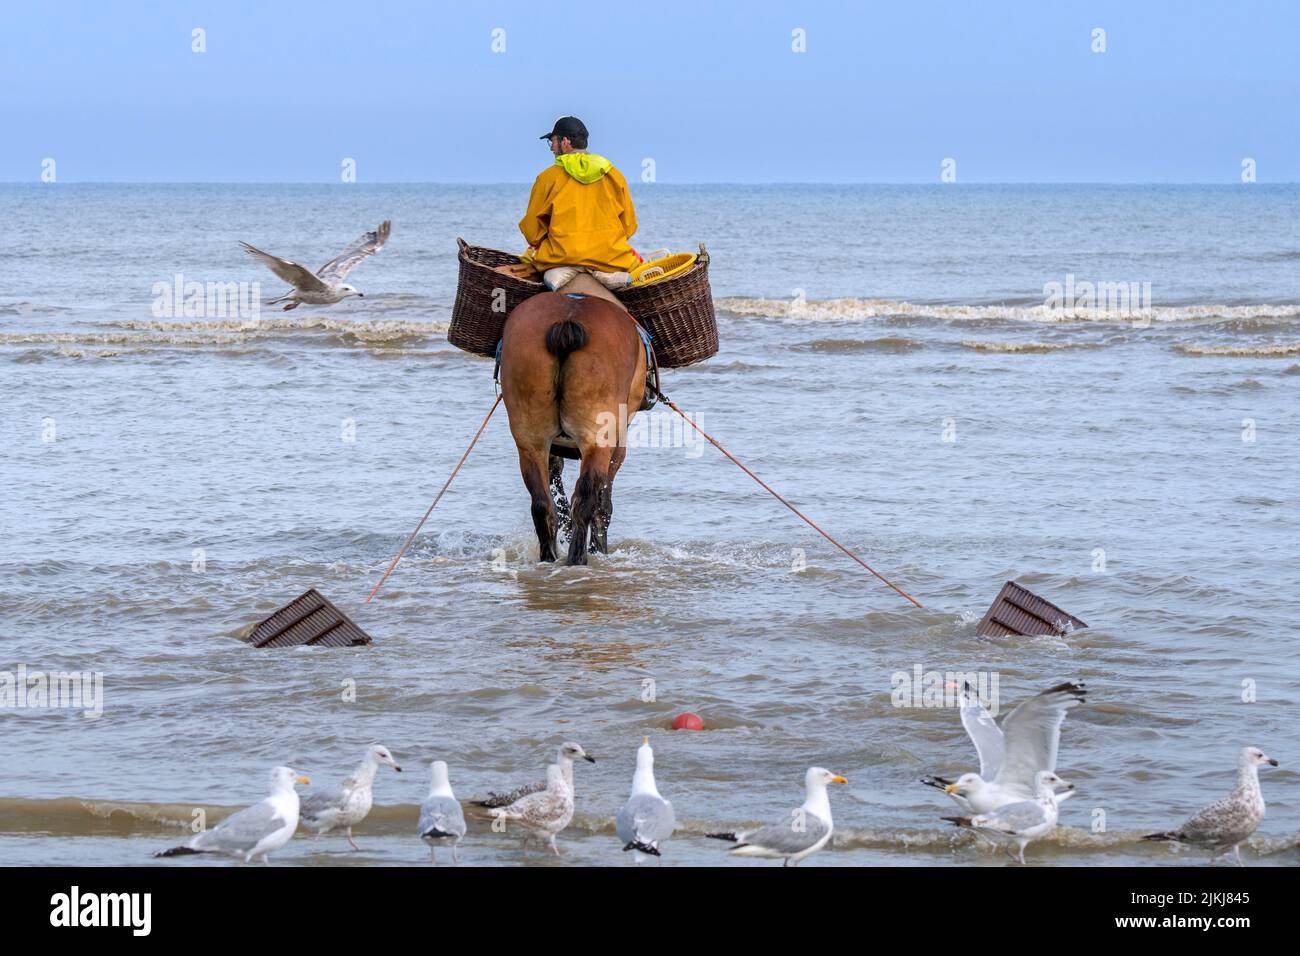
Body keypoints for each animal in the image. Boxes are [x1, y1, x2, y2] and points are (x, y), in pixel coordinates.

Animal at [498, 287, 647, 565]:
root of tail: (567, 320)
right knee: (586, 498)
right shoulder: (617, 445)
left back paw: (550, 557)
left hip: (530, 440)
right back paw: (577, 558)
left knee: (542, 505)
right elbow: (603, 505)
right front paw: (599, 548)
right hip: (597, 438)